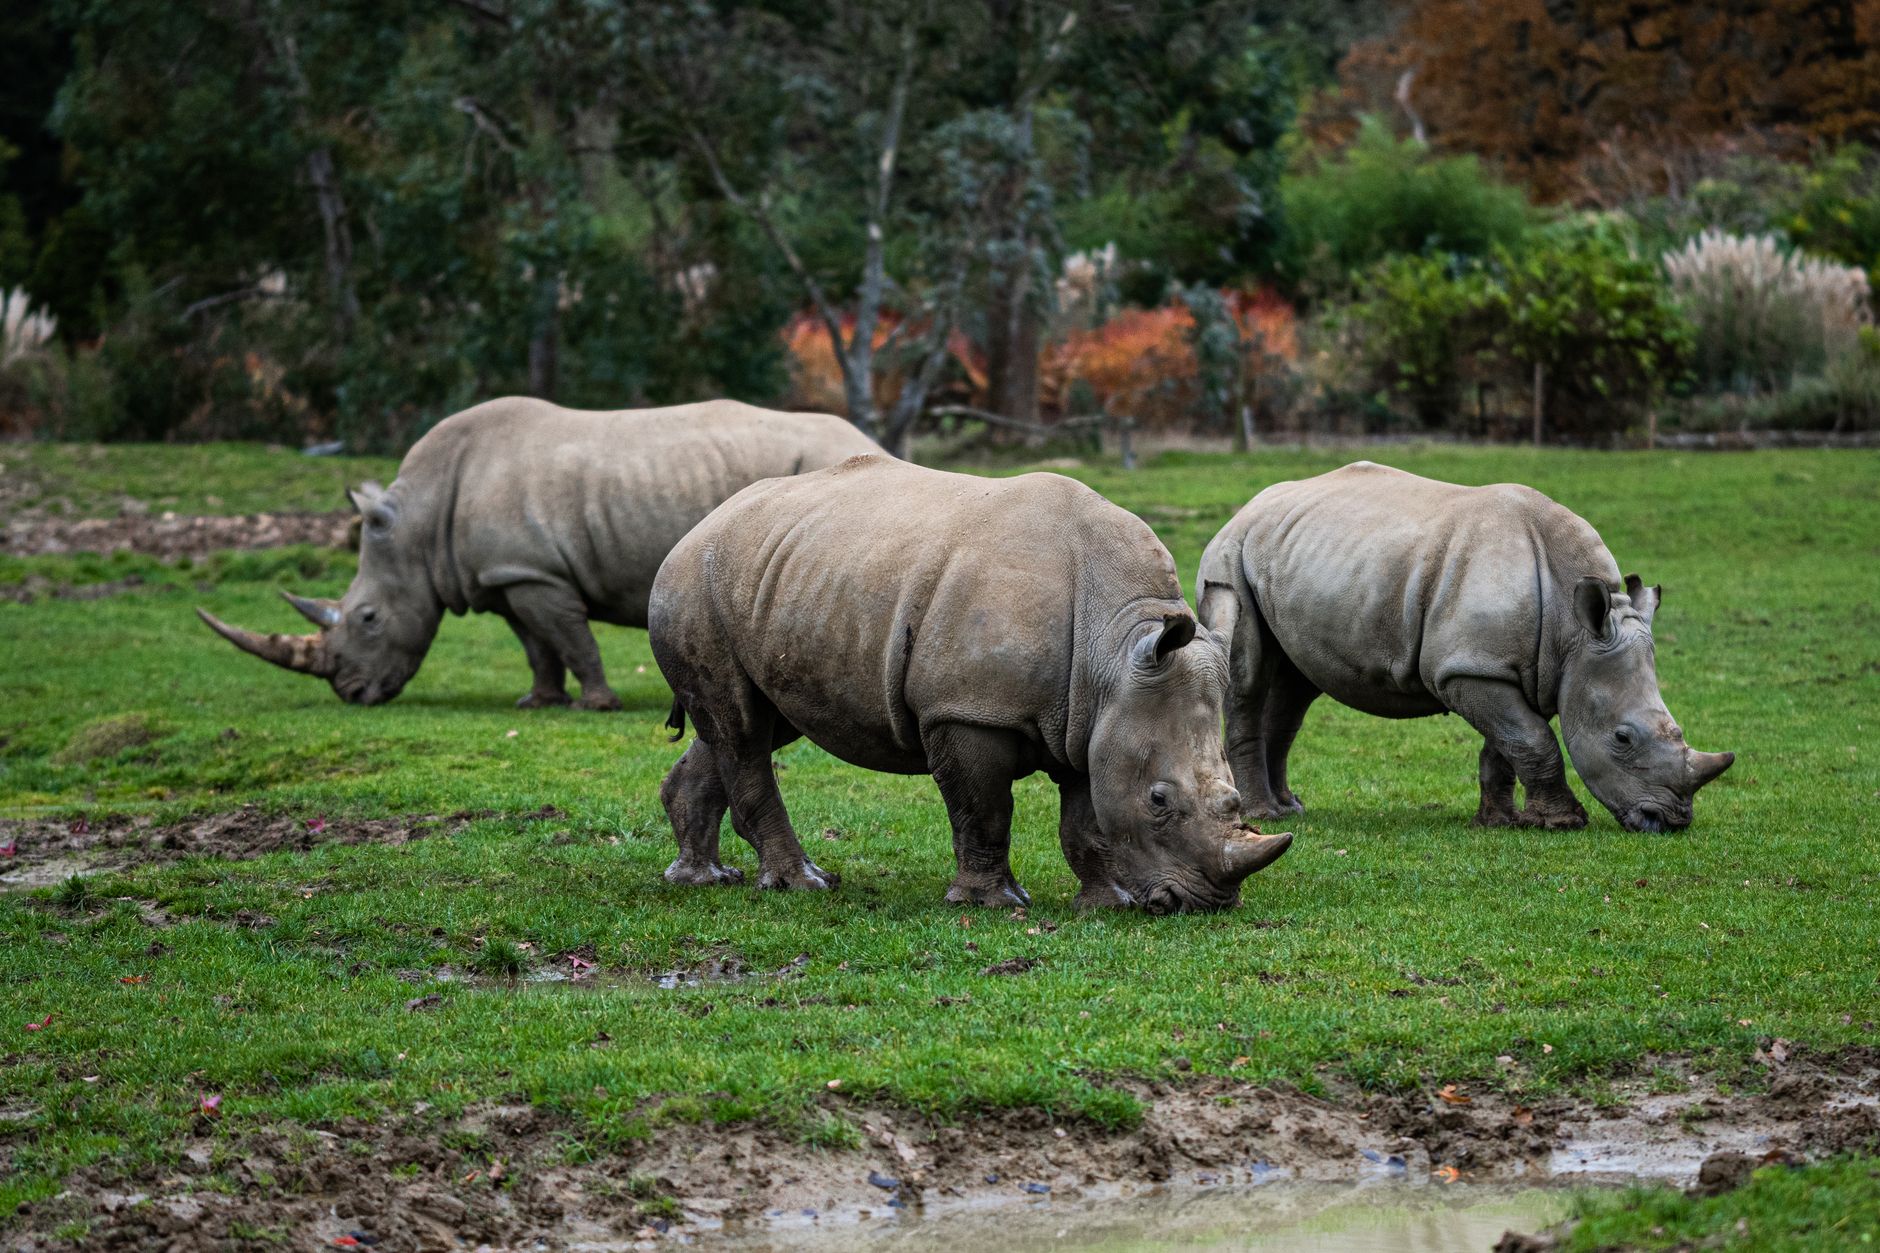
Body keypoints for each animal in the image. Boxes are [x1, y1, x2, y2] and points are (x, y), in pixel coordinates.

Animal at [198, 398, 879, 709]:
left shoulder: (536, 572)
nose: (351, 693)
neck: (420, 527)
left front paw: (599, 704)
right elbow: (537, 645)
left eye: (368, 618)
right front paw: (540, 703)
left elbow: (572, 637)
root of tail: (865, 435)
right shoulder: (504, 576)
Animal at [649, 455, 1293, 912]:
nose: (1205, 904)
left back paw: (703, 879)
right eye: (1159, 800)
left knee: (753, 726)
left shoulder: (1089, 717)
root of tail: (701, 524)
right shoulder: (967, 709)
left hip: (778, 578)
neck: (1115, 643)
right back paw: (803, 886)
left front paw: (1108, 903)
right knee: (742, 731)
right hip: (694, 583)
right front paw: (993, 903)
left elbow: (1086, 818)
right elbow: (984, 807)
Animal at [1197, 462, 1734, 832]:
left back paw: (1291, 808)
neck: (1576, 632)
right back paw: (1265, 816)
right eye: (1622, 739)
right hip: (1228, 557)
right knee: (1250, 678)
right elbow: (1533, 739)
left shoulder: (1515, 667)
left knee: (1297, 686)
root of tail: (1247, 508)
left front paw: (1503, 822)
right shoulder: (1468, 668)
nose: (1670, 821)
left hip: (1294, 558)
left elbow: (1511, 743)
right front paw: (1562, 823)